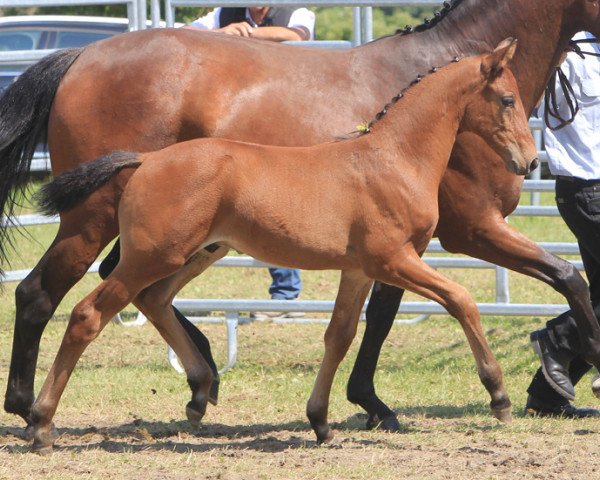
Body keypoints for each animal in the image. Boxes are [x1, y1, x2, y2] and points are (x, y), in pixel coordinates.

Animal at [32, 39, 536, 452]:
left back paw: (199, 392)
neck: (392, 159)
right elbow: (461, 299)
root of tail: (146, 159)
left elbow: (339, 336)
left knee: (153, 299)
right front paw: (499, 396)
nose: (530, 162)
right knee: (88, 314)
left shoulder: (358, 270)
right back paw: (39, 423)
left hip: (194, 252)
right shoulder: (392, 260)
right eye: (507, 99)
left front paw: (320, 422)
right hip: (153, 255)